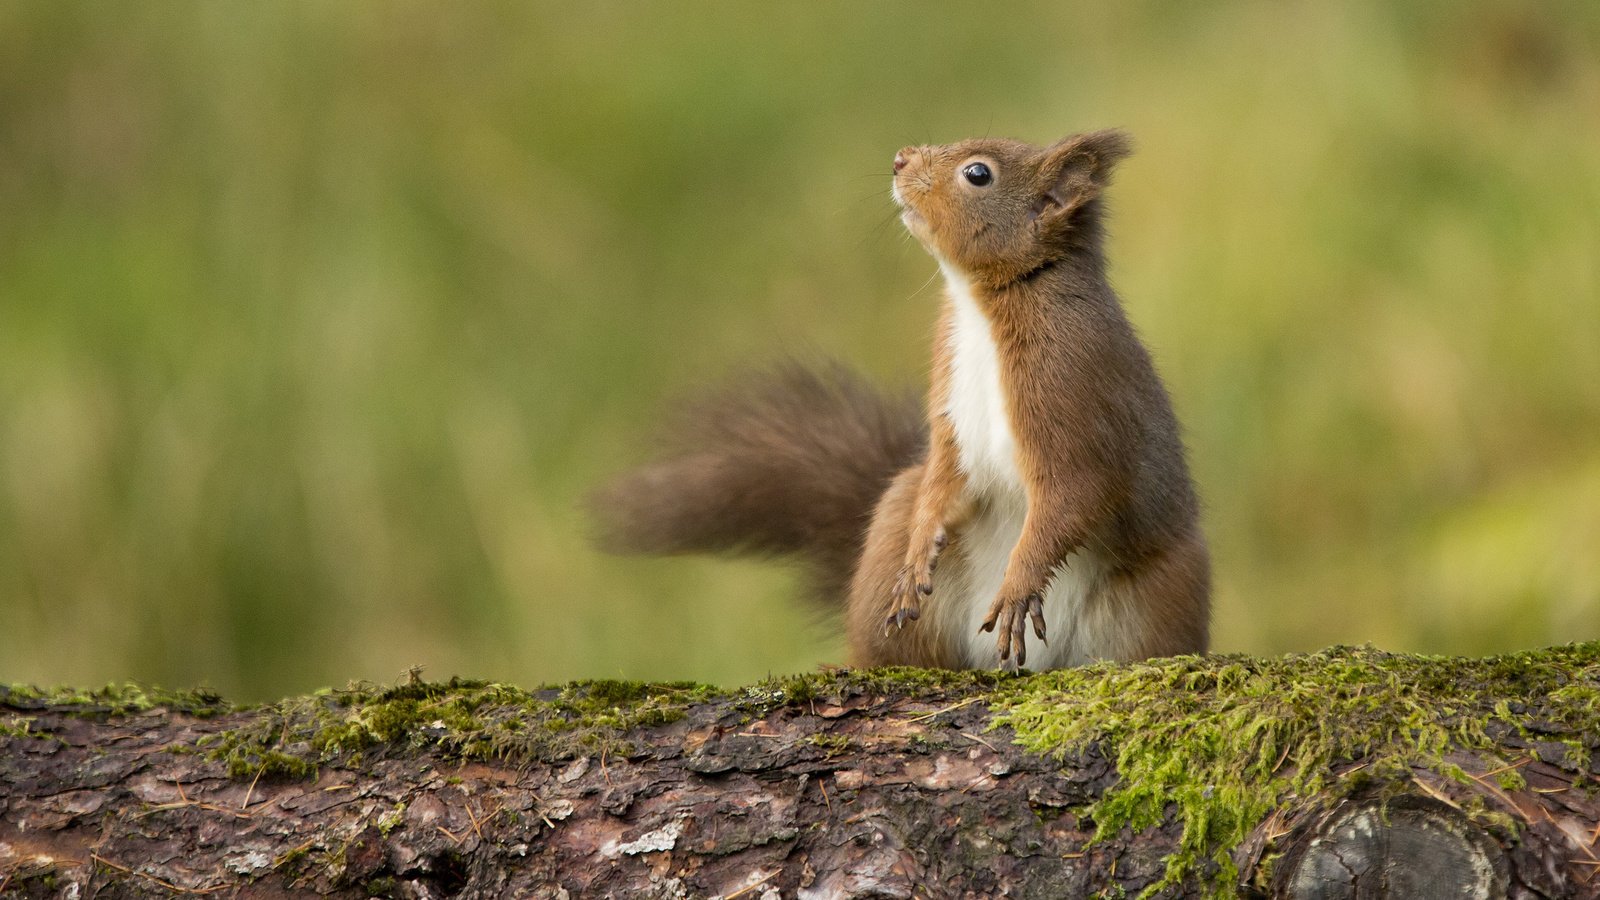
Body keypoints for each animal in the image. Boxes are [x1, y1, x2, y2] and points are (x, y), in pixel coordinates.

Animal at [595, 131, 1203, 666]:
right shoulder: (949, 401)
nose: (899, 159)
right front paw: (919, 554)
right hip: (891, 530)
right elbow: (944, 474)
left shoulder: (1074, 388)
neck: (985, 304)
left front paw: (1018, 585)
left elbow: (1075, 491)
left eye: (978, 174)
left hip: (1158, 598)